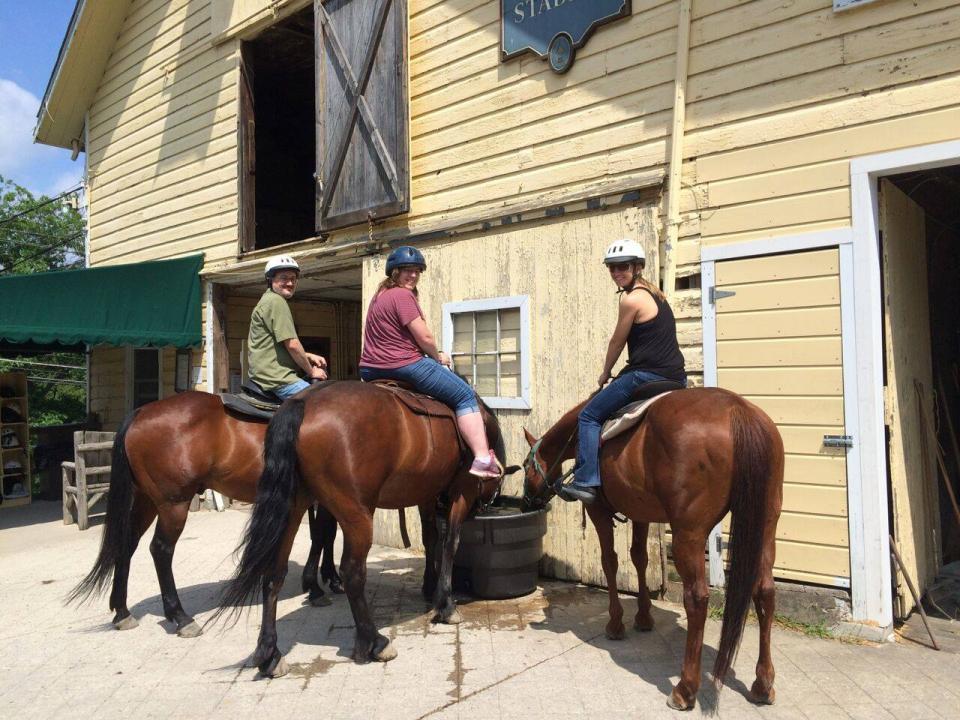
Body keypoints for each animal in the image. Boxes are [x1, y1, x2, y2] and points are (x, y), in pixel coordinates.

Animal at [65, 388, 342, 636]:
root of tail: (141, 412)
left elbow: (326, 537)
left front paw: (330, 579)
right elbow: (322, 536)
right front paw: (318, 586)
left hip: (147, 501)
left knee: (127, 544)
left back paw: (122, 612)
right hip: (173, 505)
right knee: (161, 550)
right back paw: (180, 617)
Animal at [209, 380, 510, 676]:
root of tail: (303, 402)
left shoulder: (426, 492)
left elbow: (430, 539)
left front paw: (430, 586)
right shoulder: (463, 490)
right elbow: (450, 544)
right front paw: (446, 604)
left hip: (292, 507)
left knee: (274, 573)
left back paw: (269, 654)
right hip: (358, 516)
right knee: (352, 572)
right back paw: (374, 641)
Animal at [520, 388, 784, 708]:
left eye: (525, 466)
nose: (526, 501)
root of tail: (737, 410)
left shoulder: (598, 511)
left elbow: (610, 561)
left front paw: (616, 624)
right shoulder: (640, 513)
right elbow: (639, 558)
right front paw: (643, 617)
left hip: (689, 534)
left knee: (697, 598)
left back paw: (685, 688)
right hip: (766, 526)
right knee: (765, 591)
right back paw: (762, 683)